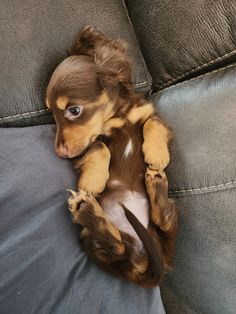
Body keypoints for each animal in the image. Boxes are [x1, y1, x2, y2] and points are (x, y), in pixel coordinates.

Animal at [45, 26, 177, 288]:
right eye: (51, 114)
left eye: (74, 110)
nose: (59, 153)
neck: (119, 116)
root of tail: (141, 262)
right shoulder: (91, 144)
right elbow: (99, 146)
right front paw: (93, 181)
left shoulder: (152, 114)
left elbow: (153, 124)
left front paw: (156, 154)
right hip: (90, 240)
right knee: (116, 247)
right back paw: (86, 208)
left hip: (163, 231)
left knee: (166, 222)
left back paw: (157, 184)